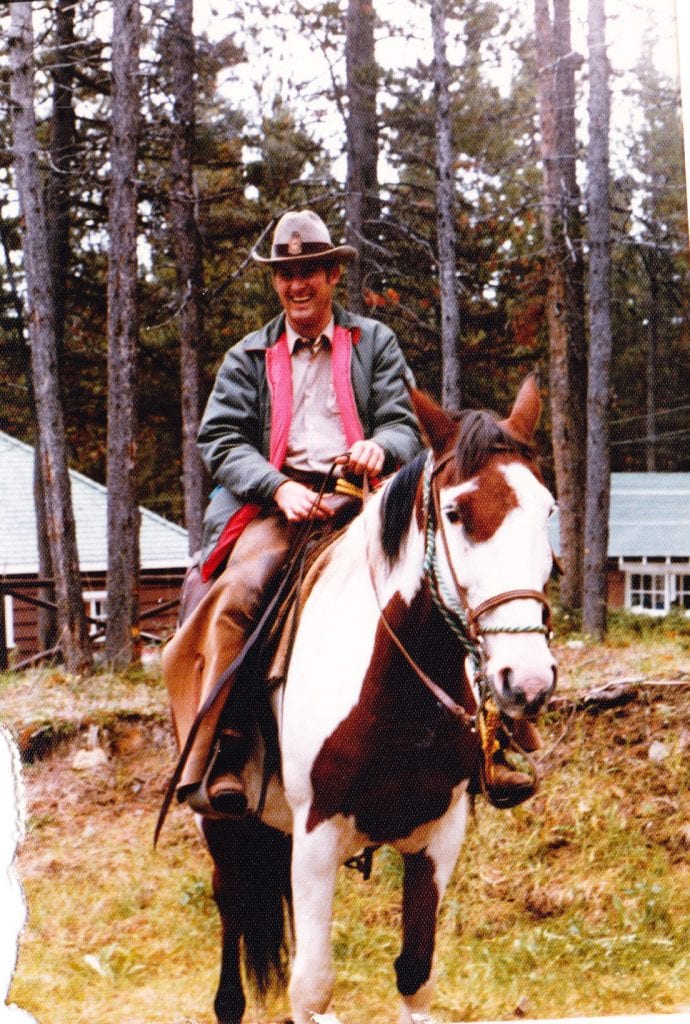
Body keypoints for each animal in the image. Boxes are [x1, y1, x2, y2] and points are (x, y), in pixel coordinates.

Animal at [196, 380, 556, 1024]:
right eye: (455, 512)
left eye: (547, 510)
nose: (529, 681)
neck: (395, 697)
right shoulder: (316, 837)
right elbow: (312, 985)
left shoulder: (438, 837)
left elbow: (415, 974)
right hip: (223, 826)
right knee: (231, 915)